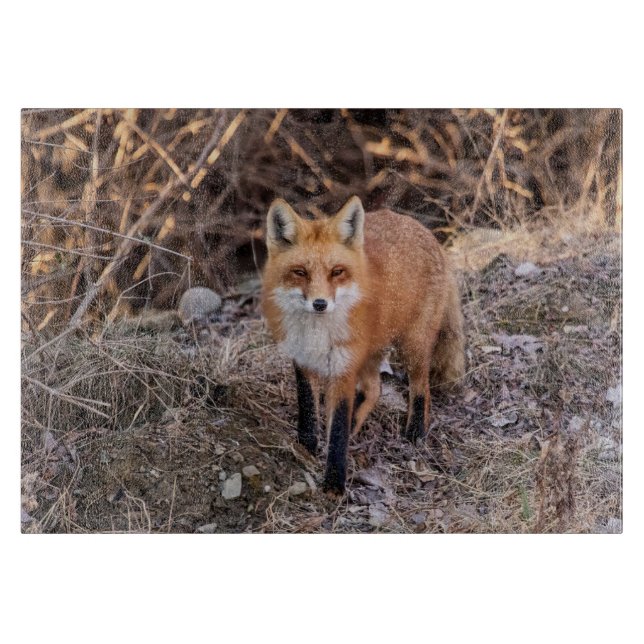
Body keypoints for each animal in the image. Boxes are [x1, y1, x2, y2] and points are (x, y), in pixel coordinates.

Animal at [261, 196, 465, 495]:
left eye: (337, 272)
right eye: (300, 272)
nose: (320, 304)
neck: (317, 333)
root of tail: (427, 233)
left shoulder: (343, 368)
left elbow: (337, 431)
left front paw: (334, 485)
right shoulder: (302, 359)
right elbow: (308, 409)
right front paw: (306, 447)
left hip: (412, 347)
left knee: (421, 388)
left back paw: (416, 432)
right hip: (371, 351)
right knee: (374, 388)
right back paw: (357, 422)